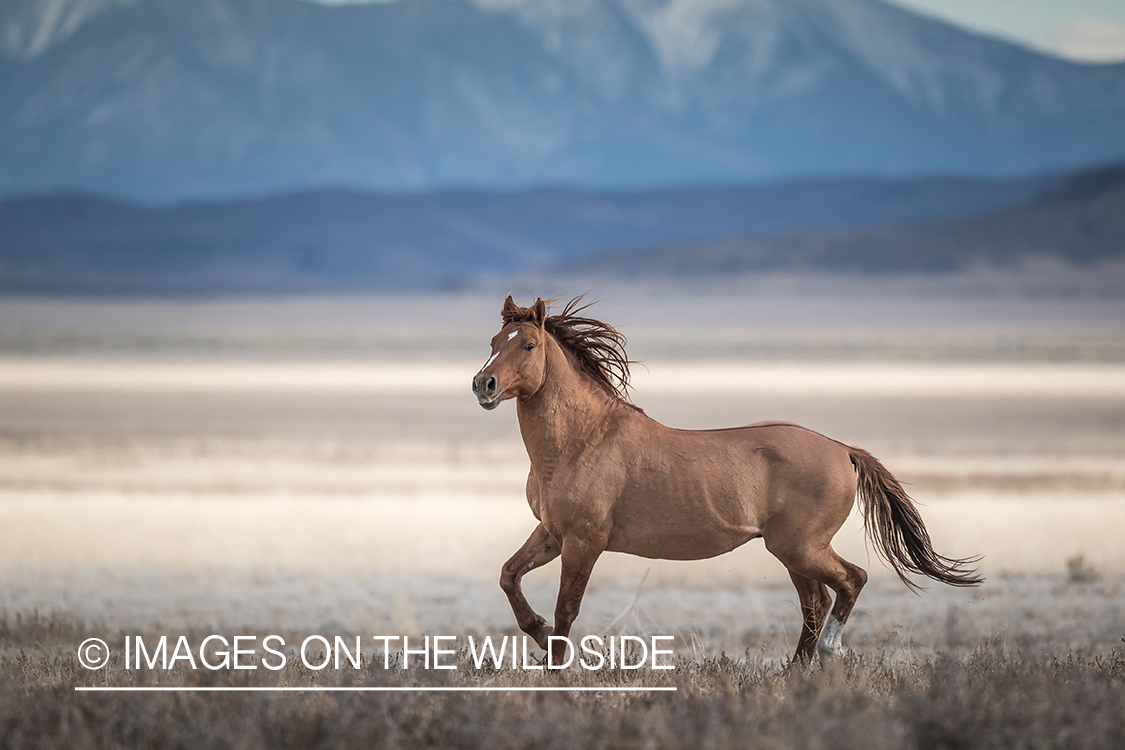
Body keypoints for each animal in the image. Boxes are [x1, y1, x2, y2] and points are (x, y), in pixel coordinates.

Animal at [471, 295, 982, 665]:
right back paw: (794, 675)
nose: (483, 385)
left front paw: (555, 668)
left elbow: (566, 610)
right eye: (494, 340)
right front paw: (537, 634)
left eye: (528, 345)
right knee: (815, 603)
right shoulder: (552, 533)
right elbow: (509, 576)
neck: (581, 440)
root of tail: (844, 451)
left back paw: (828, 654)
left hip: (800, 547)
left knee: (850, 581)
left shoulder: (583, 541)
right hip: (794, 553)